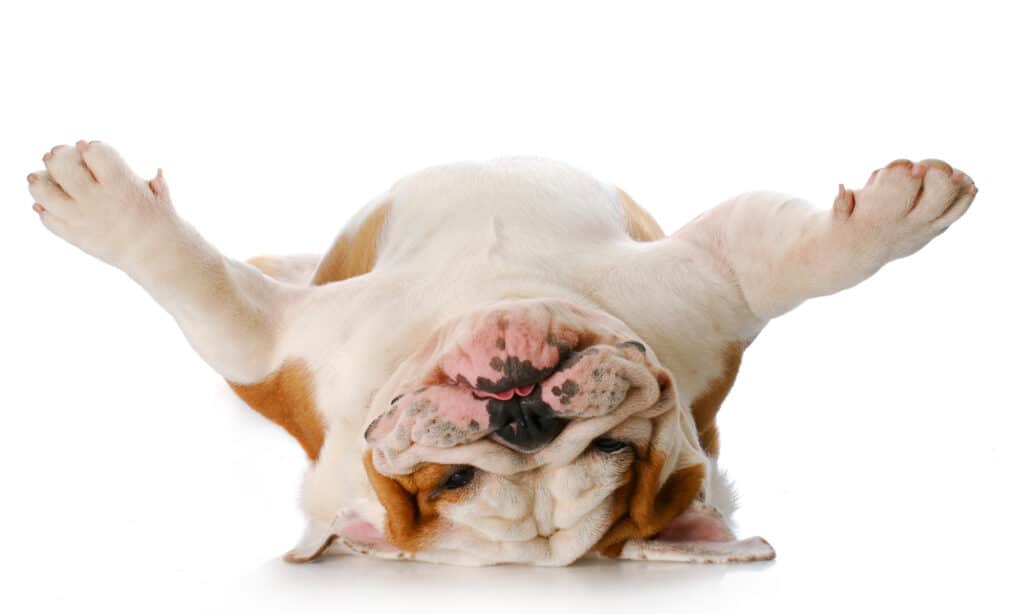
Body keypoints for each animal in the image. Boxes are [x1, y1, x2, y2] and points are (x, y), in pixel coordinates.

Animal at [25, 141, 974, 564]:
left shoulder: (711, 288)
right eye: (451, 481)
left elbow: (792, 259)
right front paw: (101, 208)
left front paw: (901, 214)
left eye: (615, 449)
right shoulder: (277, 349)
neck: (495, 285)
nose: (522, 416)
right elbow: (199, 283)